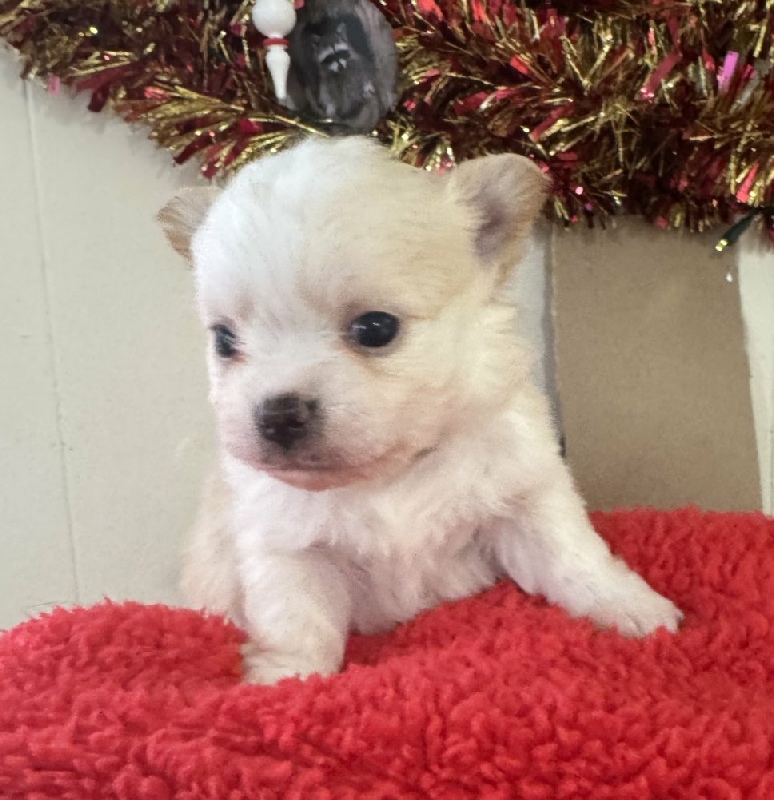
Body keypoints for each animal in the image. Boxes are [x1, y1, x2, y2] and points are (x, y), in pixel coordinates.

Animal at [159, 137, 682, 685]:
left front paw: (630, 608)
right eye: (225, 340)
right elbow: (296, 621)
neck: (393, 474)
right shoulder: (286, 546)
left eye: (375, 328)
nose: (277, 415)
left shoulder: (524, 497)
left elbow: (573, 557)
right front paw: (284, 680)